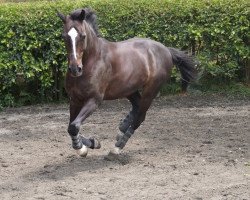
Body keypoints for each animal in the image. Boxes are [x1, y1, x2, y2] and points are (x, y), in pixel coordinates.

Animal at [57, 7, 197, 159]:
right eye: (64, 37)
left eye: (82, 36)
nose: (75, 69)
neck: (92, 60)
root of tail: (167, 50)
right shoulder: (75, 99)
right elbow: (71, 126)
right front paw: (93, 143)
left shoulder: (94, 100)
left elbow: (74, 126)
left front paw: (82, 148)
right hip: (129, 89)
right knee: (137, 107)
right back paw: (123, 126)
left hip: (150, 91)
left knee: (140, 117)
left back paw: (117, 147)